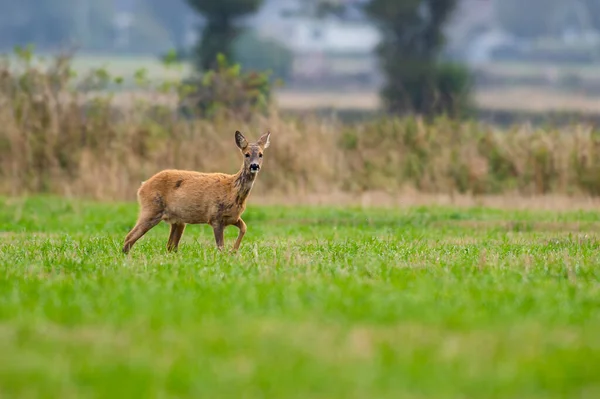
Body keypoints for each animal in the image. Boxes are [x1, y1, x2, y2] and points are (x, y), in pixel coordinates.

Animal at [122, 132, 272, 256]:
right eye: (246, 154)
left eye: (261, 154)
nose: (254, 166)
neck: (233, 191)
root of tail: (142, 186)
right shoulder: (215, 216)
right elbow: (220, 247)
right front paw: (228, 254)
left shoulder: (233, 217)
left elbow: (244, 228)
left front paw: (233, 251)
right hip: (151, 209)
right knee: (129, 238)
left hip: (178, 221)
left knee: (170, 246)